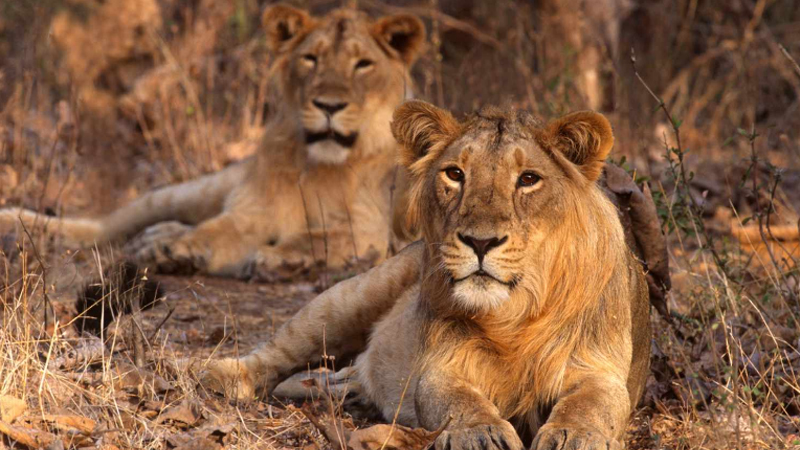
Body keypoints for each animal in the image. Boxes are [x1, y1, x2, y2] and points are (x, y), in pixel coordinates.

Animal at [0, 5, 425, 277]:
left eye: (363, 64)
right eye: (311, 59)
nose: (329, 106)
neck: (321, 165)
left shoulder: (372, 229)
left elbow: (320, 237)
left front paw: (282, 259)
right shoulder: (253, 212)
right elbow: (218, 230)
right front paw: (182, 250)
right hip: (193, 190)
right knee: (108, 225)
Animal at [201, 101, 651, 450]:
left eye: (528, 179)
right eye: (455, 174)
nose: (480, 241)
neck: (515, 316)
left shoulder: (600, 368)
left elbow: (591, 404)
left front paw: (576, 435)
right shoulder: (441, 365)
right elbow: (456, 400)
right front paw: (480, 432)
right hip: (349, 298)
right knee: (276, 353)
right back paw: (214, 374)